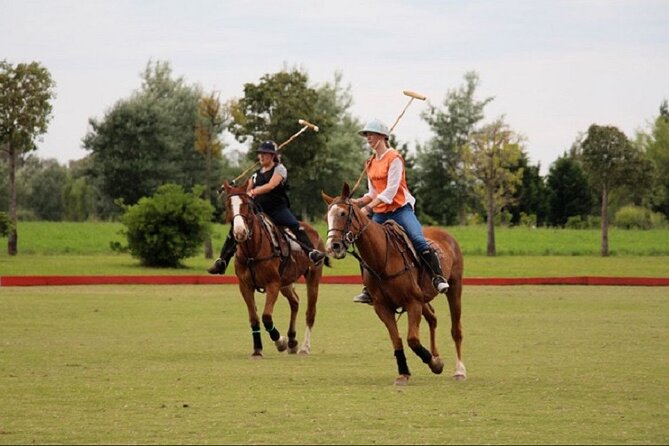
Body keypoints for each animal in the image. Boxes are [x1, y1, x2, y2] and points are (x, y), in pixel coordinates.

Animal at [222, 179, 326, 358]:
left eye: (247, 205)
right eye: (228, 205)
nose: (240, 232)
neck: (252, 252)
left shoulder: (272, 284)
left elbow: (266, 316)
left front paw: (280, 342)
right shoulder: (245, 286)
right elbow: (254, 318)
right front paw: (257, 349)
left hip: (313, 276)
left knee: (310, 312)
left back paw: (304, 347)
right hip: (286, 281)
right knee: (295, 302)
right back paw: (292, 341)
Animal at [322, 183, 468, 386]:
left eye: (343, 213)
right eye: (326, 217)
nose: (333, 247)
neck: (383, 259)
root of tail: (446, 234)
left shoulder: (412, 302)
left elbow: (412, 339)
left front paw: (434, 363)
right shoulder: (383, 307)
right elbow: (397, 339)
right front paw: (405, 372)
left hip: (454, 287)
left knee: (456, 329)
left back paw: (459, 370)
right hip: (424, 296)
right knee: (432, 318)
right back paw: (436, 355)